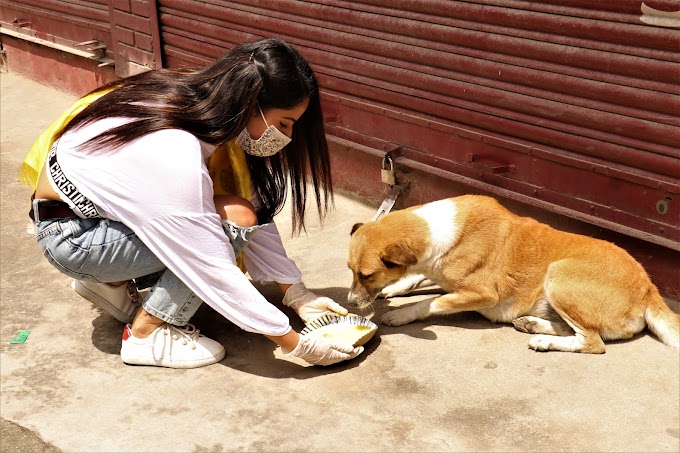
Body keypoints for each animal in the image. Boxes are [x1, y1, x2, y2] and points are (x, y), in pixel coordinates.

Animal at [348, 194, 676, 354]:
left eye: (366, 275)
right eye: (351, 271)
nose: (350, 302)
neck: (434, 231)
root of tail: (649, 288)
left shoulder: (481, 293)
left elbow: (429, 303)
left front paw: (401, 314)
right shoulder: (437, 268)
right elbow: (417, 279)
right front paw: (394, 289)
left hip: (559, 275)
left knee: (594, 343)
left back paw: (544, 341)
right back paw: (534, 325)